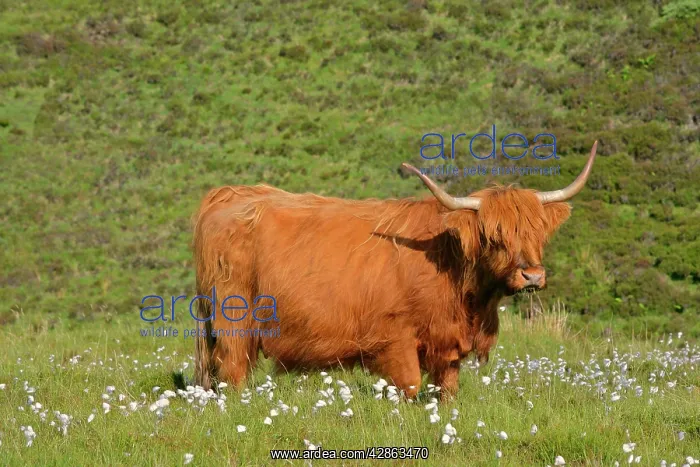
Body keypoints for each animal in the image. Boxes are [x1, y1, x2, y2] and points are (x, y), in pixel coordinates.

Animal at [192, 141, 598, 399]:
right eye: (493, 235)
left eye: (536, 233)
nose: (533, 276)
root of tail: (229, 194)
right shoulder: (395, 339)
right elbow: (411, 387)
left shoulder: (448, 344)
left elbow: (447, 392)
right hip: (234, 319)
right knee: (233, 371)